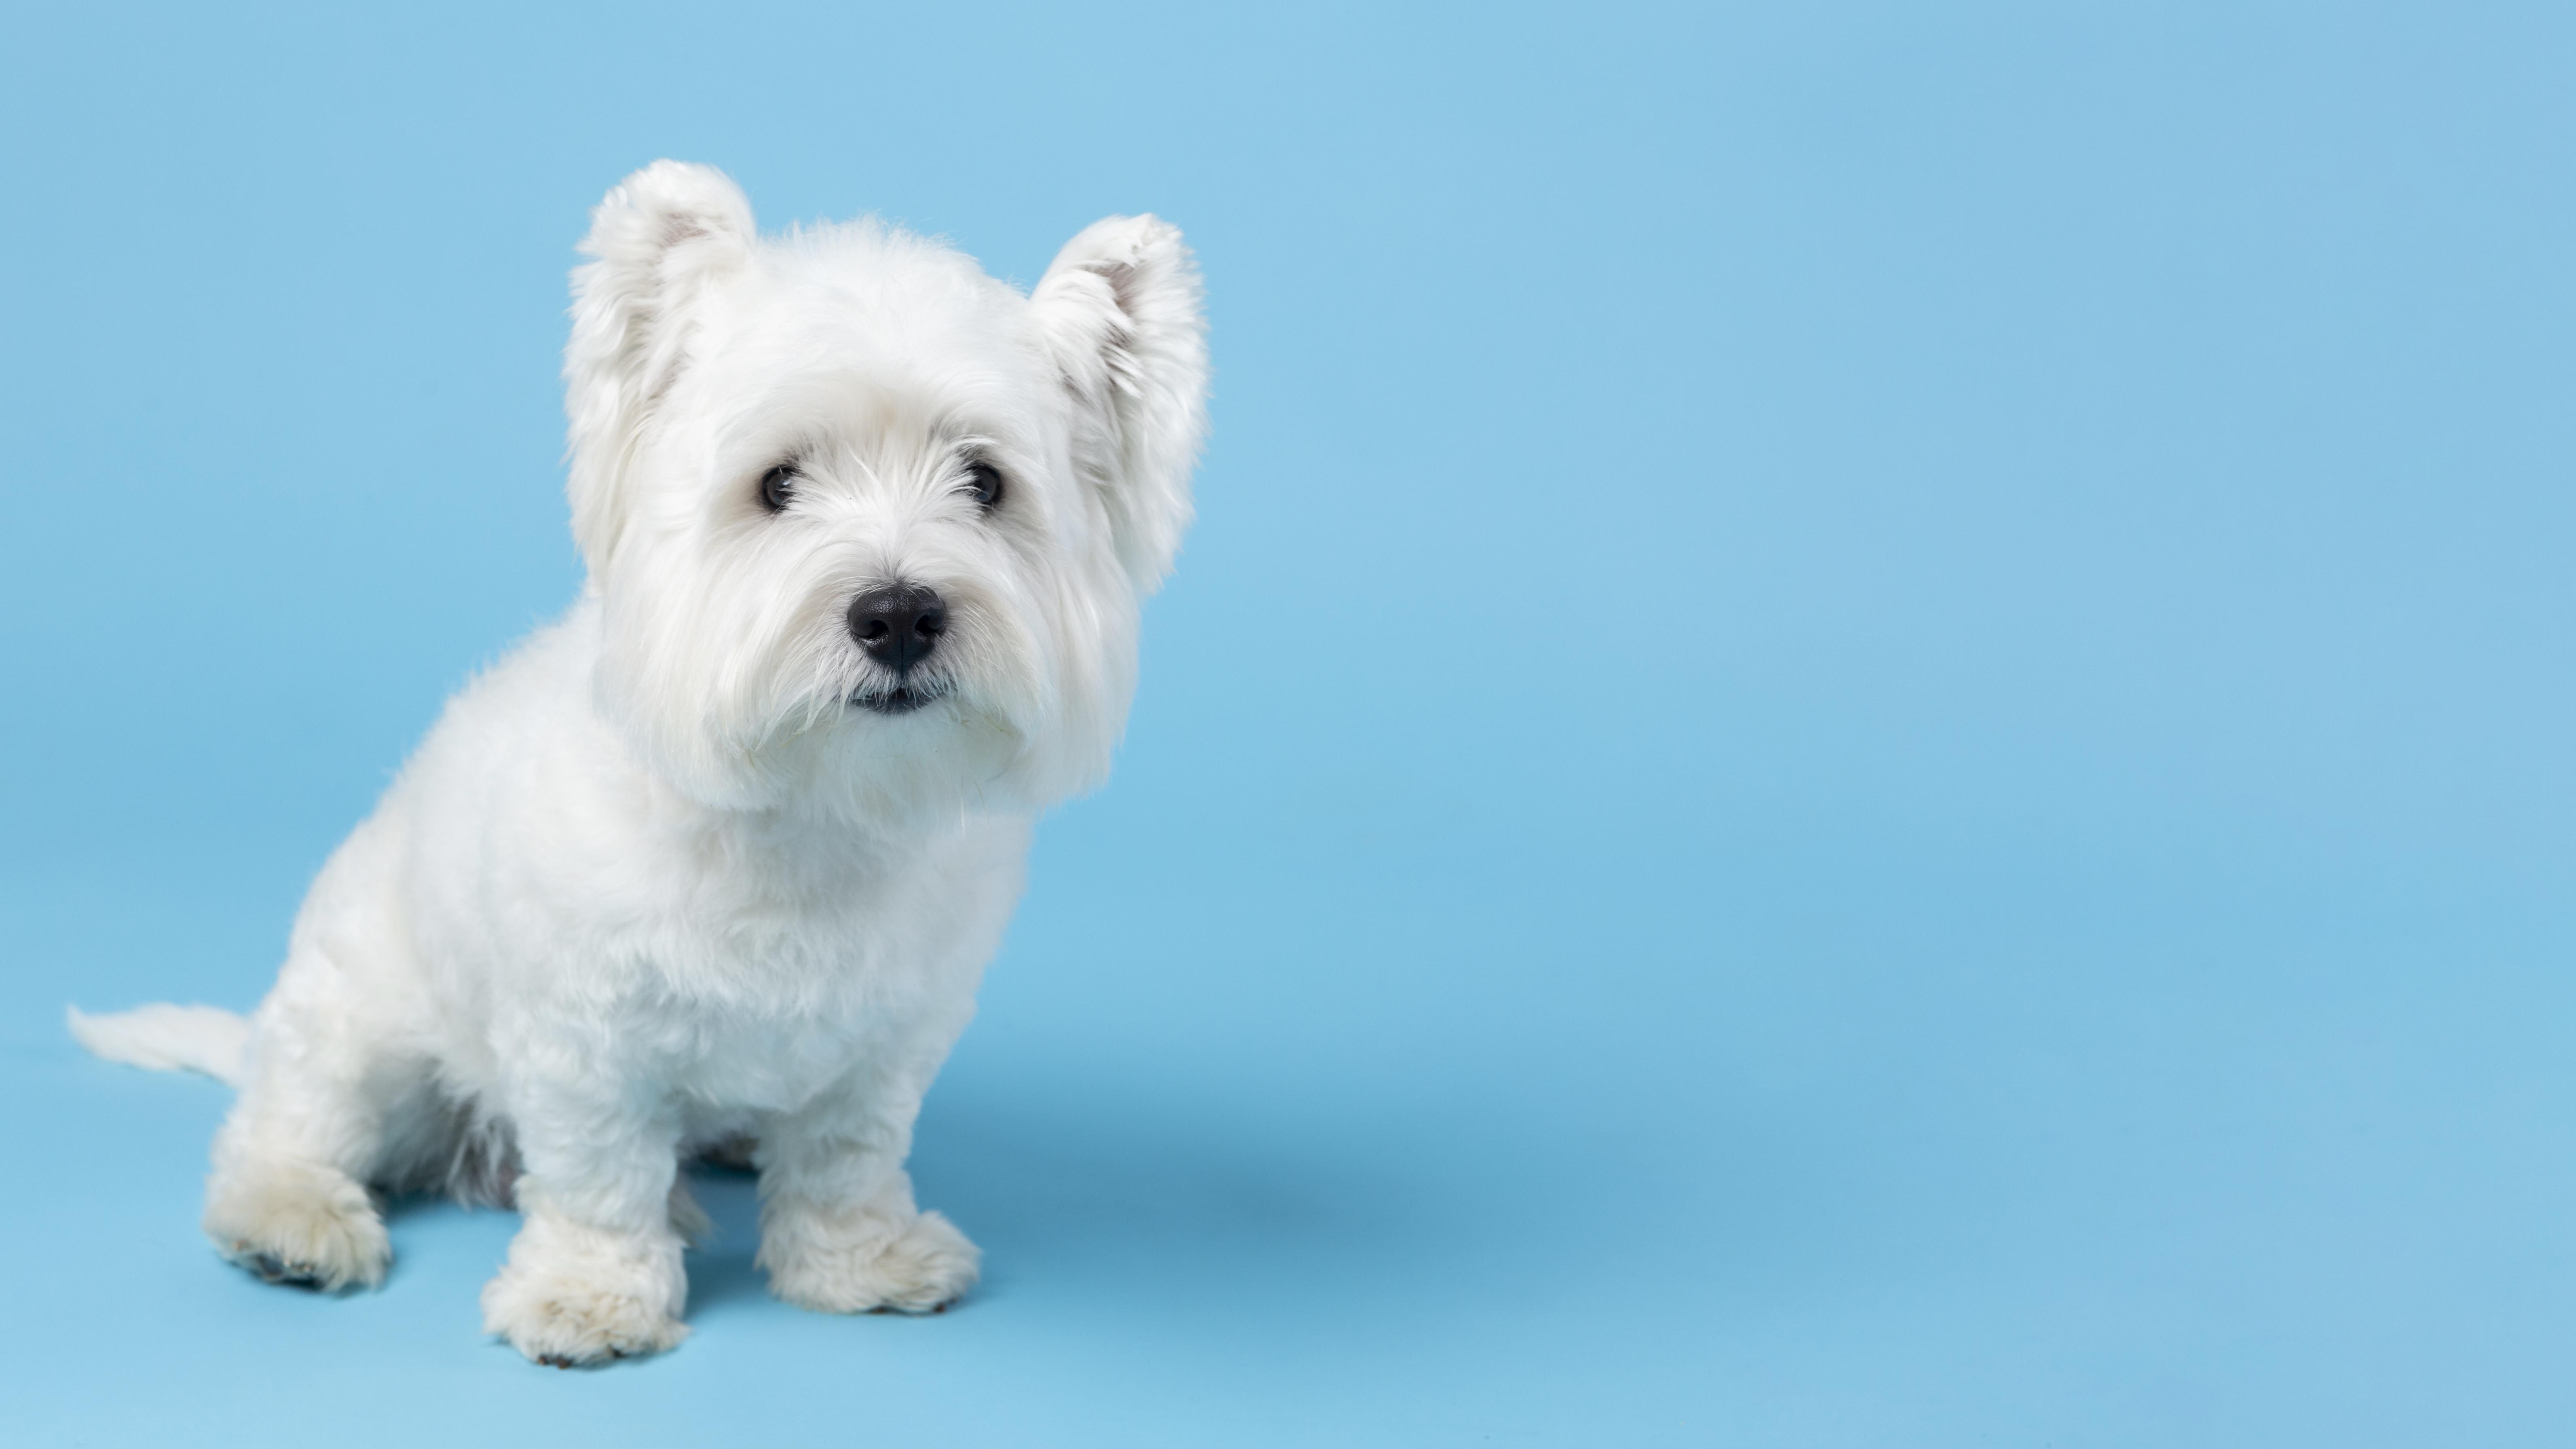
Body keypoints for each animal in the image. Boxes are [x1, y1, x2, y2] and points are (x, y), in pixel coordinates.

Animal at [65, 165, 1211, 1369]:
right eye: (777, 484)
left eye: (985, 484)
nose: (899, 613)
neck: (805, 811)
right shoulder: (584, 1041)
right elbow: (601, 1177)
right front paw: (592, 1295)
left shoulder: (884, 1041)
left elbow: (846, 1159)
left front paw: (858, 1265)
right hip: (358, 1017)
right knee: (291, 1122)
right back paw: (291, 1218)